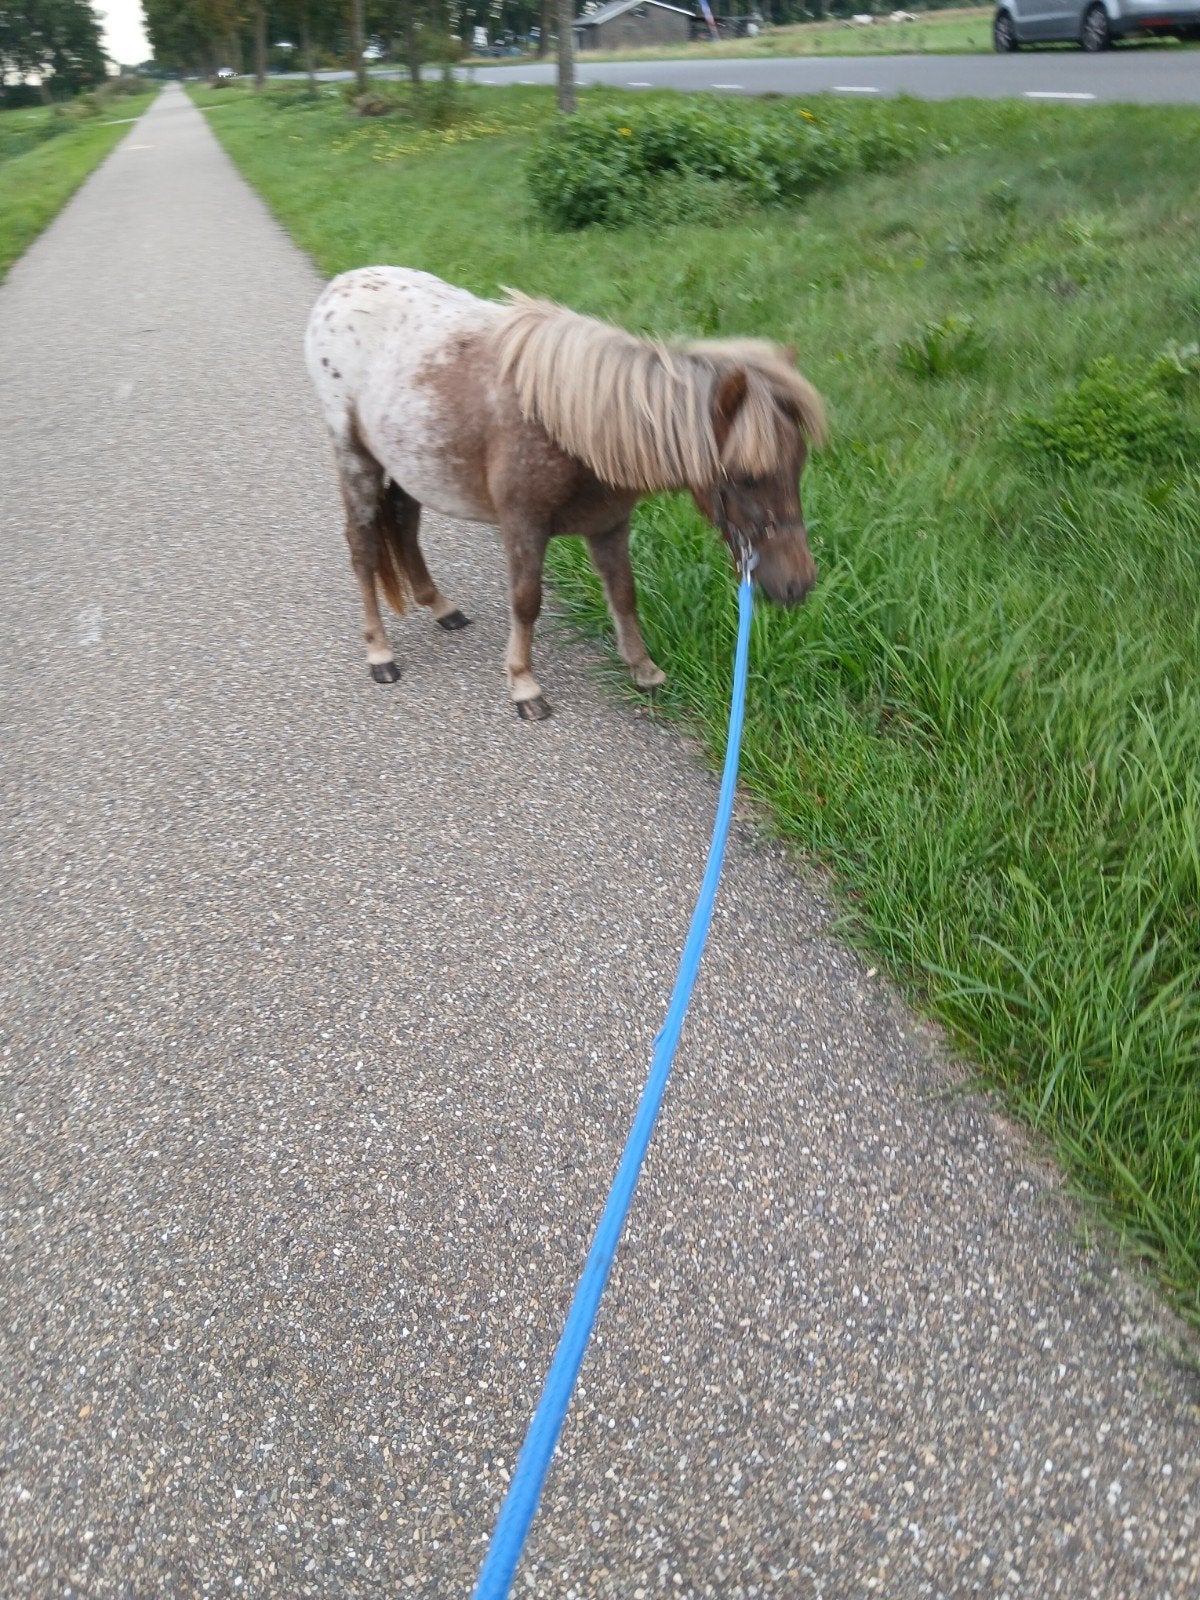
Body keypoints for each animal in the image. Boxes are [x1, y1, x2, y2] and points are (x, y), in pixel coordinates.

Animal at [304, 267, 827, 720]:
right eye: (746, 477)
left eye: (799, 465)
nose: (799, 584)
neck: (568, 426)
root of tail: (339, 289)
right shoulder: (523, 526)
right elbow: (526, 601)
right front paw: (523, 684)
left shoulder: (610, 526)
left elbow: (624, 593)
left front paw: (643, 670)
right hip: (356, 461)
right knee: (364, 549)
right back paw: (379, 652)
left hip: (406, 465)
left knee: (405, 525)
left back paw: (441, 607)